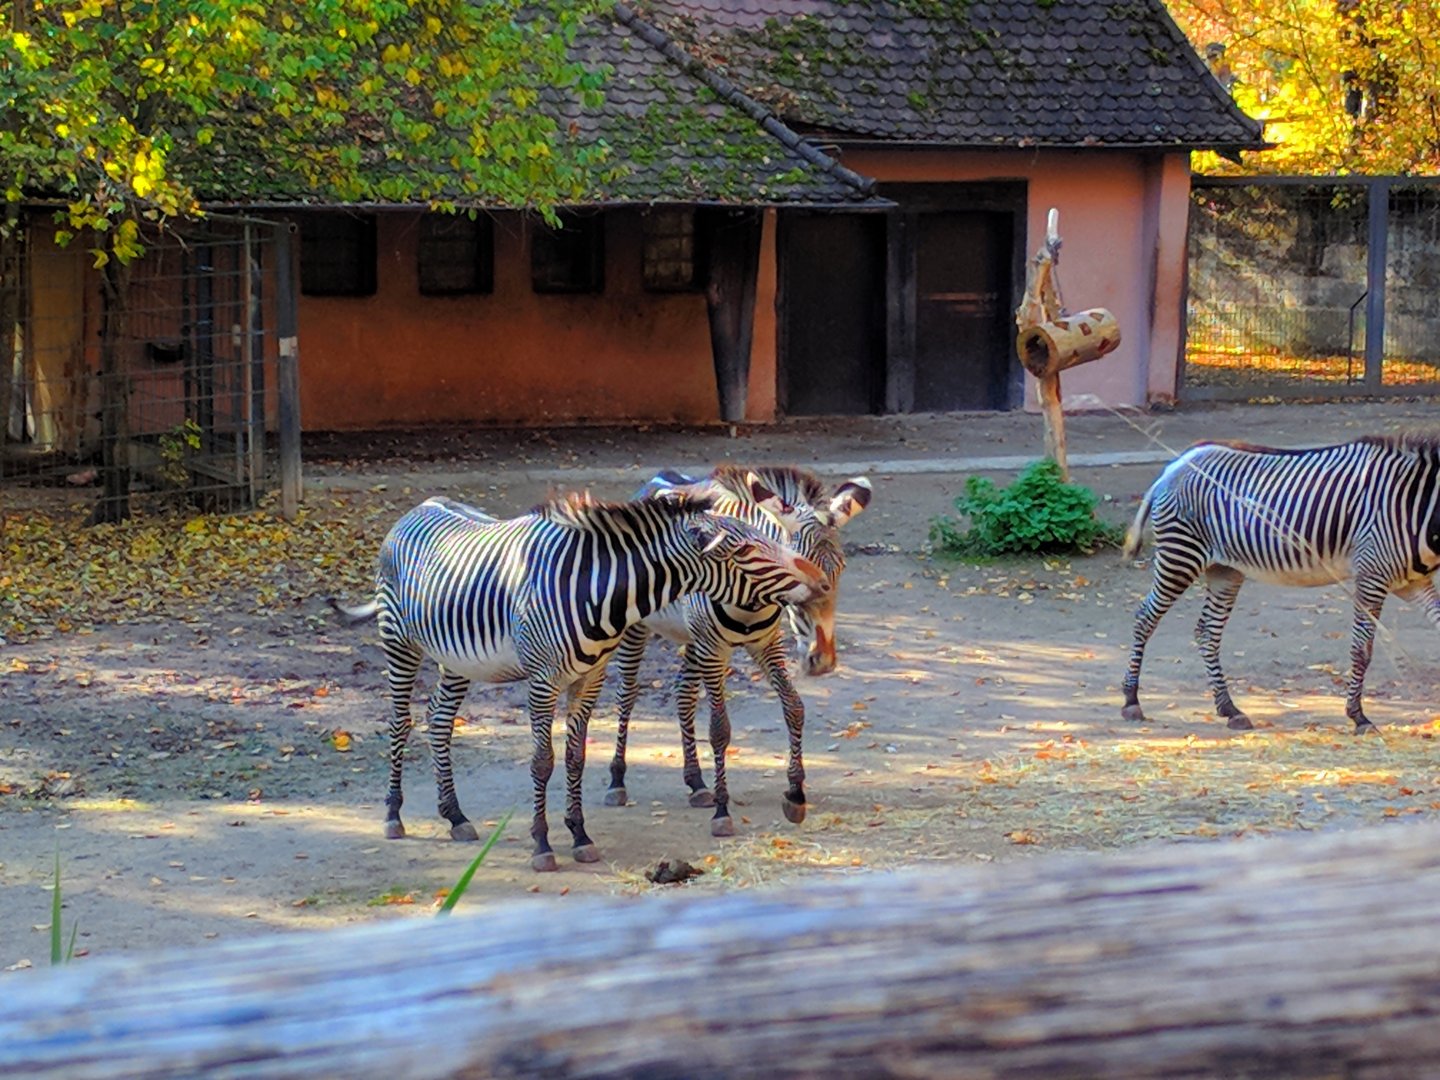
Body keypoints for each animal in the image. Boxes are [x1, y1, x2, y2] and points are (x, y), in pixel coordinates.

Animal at [333, 489, 828, 871]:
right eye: (745, 552)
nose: (822, 582)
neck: (596, 591)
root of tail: (416, 509)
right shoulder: (542, 680)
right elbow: (542, 762)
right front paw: (541, 844)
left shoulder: (588, 678)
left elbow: (574, 757)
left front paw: (580, 835)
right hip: (399, 641)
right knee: (400, 724)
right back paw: (394, 815)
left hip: (454, 657)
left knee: (438, 720)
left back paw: (454, 816)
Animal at [603, 465, 871, 837]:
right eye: (799, 567)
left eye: (840, 569)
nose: (824, 662)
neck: (752, 594)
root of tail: (660, 476)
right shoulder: (715, 649)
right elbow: (719, 728)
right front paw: (722, 811)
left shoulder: (766, 644)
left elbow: (794, 708)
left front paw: (795, 794)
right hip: (641, 629)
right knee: (627, 694)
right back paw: (617, 781)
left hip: (694, 639)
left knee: (683, 694)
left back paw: (696, 783)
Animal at [1122, 434, 1440, 733]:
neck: (1416, 506)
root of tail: (1176, 463)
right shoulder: (1372, 574)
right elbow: (1361, 649)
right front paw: (1358, 717)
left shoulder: (1412, 582)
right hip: (1180, 556)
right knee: (1144, 618)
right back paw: (1131, 700)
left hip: (1224, 569)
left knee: (1207, 632)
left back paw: (1230, 709)